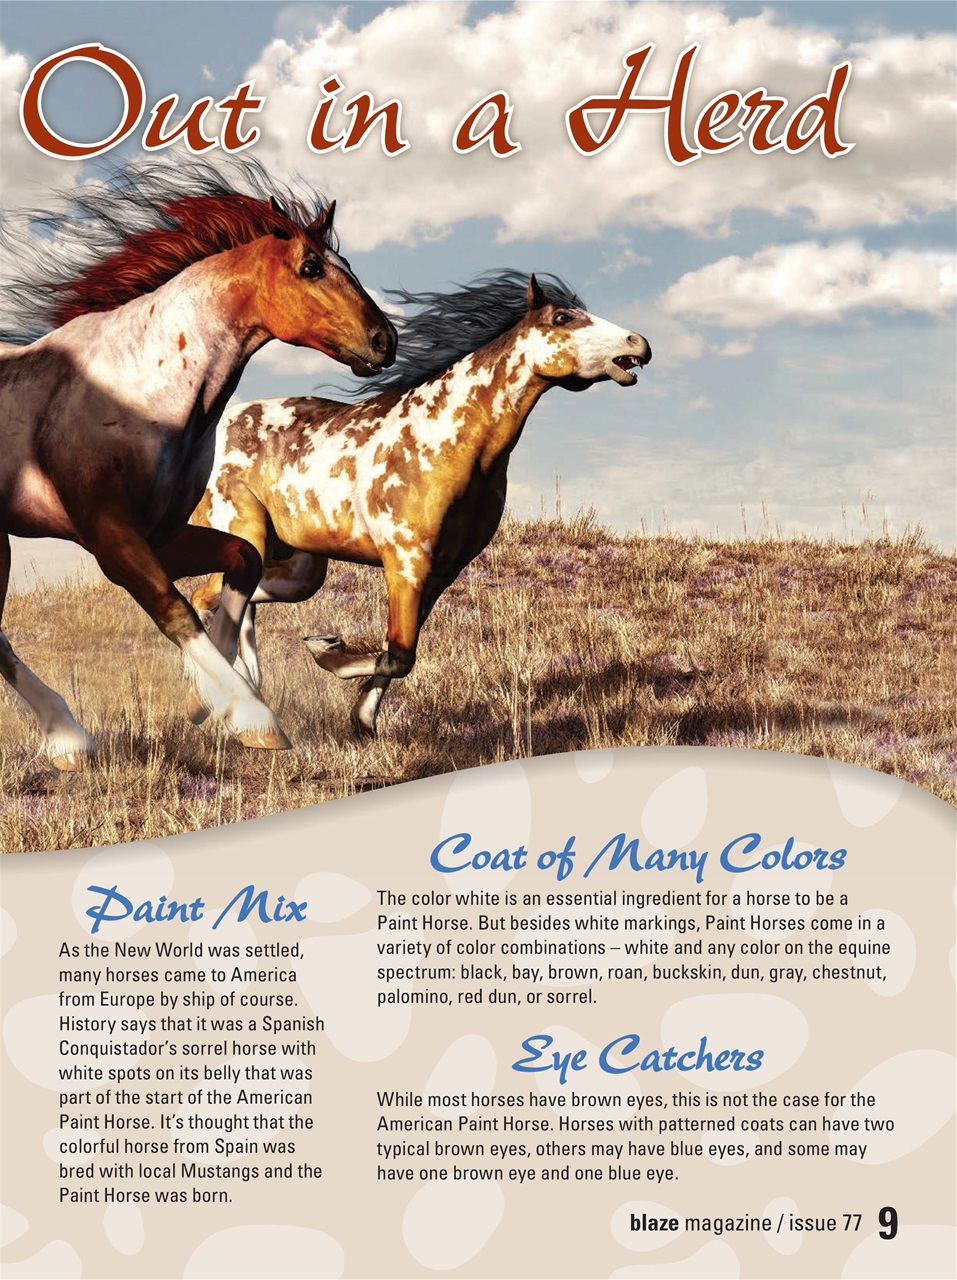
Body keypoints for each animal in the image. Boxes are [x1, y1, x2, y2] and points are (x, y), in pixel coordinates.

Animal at [0, 159, 396, 768]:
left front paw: (210, 703)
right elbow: (176, 609)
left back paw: (69, 739)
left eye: (347, 265)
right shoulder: (111, 538)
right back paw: (69, 737)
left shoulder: (162, 533)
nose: (386, 340)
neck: (138, 385)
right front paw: (254, 718)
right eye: (310, 267)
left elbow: (242, 562)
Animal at [189, 270, 650, 738]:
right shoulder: (406, 561)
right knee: (205, 598)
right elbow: (398, 655)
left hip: (299, 568)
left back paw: (248, 687)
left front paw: (362, 720)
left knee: (237, 601)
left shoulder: (442, 571)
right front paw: (327, 652)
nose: (639, 344)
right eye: (562, 318)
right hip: (247, 535)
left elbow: (398, 655)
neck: (445, 440)